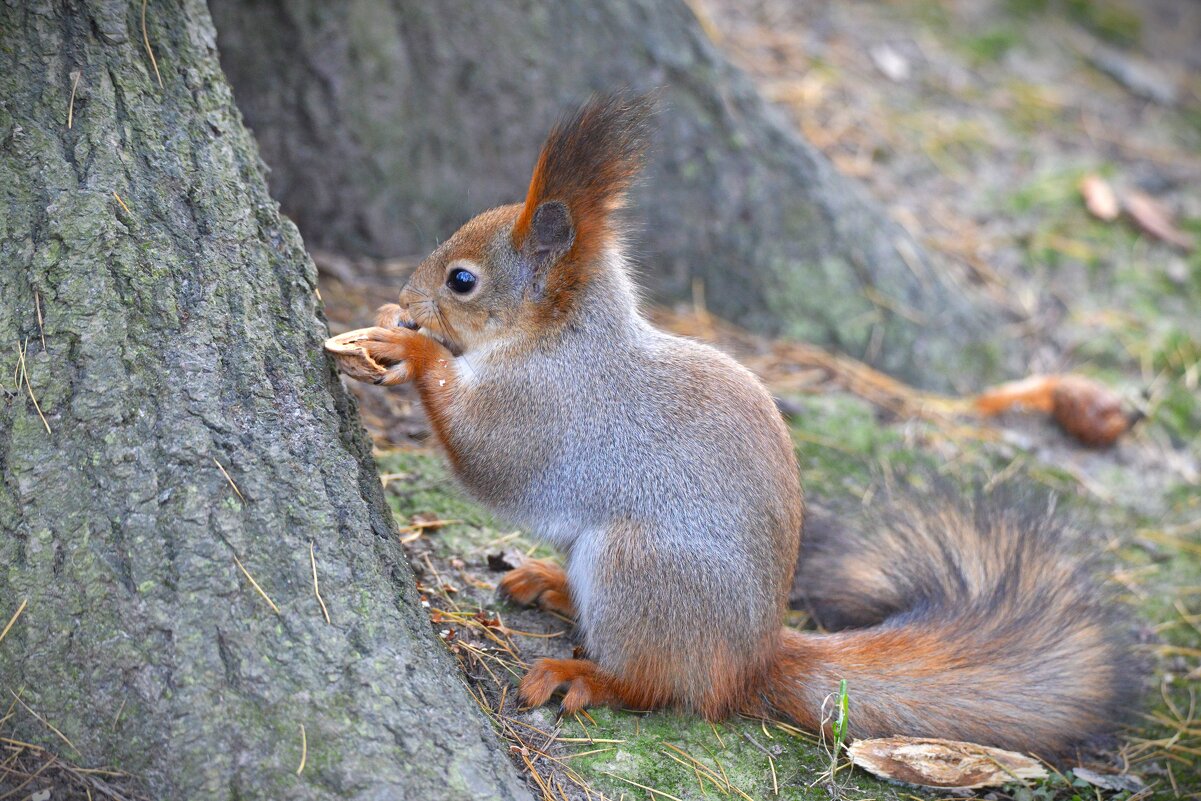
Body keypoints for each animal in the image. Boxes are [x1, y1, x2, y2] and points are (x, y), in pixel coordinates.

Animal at [326, 90, 1133, 763]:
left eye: (462, 281)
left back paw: (582, 675)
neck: (563, 339)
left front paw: (409, 350)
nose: (405, 297)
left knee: (661, 686)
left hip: (638, 571)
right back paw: (550, 583)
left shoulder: (549, 407)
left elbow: (486, 453)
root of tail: (751, 659)